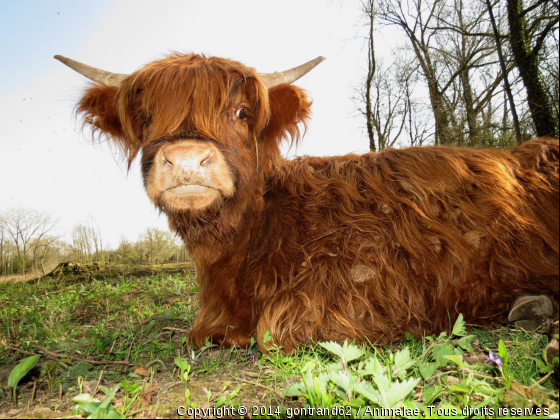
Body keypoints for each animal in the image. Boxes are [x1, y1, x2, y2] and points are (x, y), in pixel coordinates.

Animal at [54, 54, 556, 352]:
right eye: (146, 117)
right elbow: (203, 333)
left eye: (241, 112)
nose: (187, 159)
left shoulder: (367, 280)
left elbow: (274, 332)